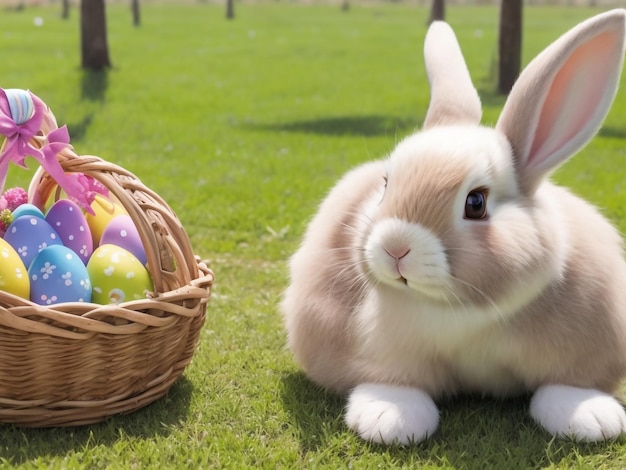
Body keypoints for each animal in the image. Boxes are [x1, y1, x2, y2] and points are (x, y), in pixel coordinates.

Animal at [280, 9, 624, 446]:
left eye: (475, 203)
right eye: (386, 183)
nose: (395, 247)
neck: (460, 310)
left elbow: (568, 383)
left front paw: (591, 417)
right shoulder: (381, 347)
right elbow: (393, 382)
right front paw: (390, 418)